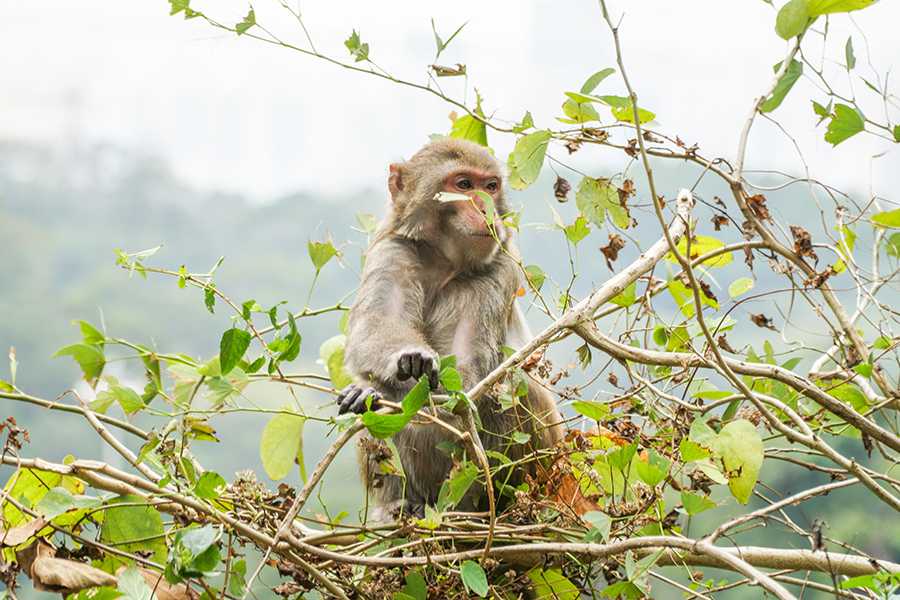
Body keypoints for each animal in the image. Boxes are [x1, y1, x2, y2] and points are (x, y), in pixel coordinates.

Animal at [336, 137, 564, 520]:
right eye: (463, 185)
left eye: (491, 186)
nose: (486, 209)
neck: (443, 262)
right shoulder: (393, 251)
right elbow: (374, 330)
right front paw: (394, 373)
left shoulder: (496, 271)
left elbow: (467, 383)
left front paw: (385, 392)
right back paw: (400, 505)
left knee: (512, 387)